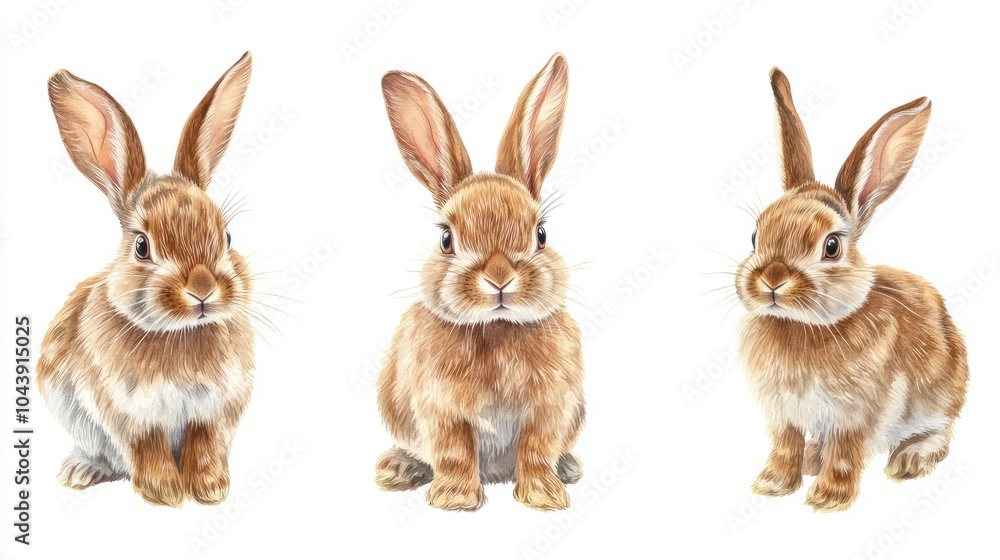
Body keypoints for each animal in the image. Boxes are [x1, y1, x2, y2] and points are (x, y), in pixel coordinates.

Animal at [37, 52, 256, 507]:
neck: (179, 332)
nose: (202, 290)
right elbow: (147, 448)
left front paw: (210, 489)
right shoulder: (129, 413)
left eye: (226, 236)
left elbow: (203, 444)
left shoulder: (211, 411)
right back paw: (79, 472)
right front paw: (165, 493)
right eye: (141, 246)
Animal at [374, 53, 586, 511]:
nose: (500, 278)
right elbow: (454, 450)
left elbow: (537, 449)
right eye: (446, 239)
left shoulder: (549, 408)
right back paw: (396, 470)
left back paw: (568, 469)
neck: (497, 328)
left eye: (541, 234)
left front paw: (544, 497)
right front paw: (454, 501)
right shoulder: (442, 410)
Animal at [734, 68, 969, 512]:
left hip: (938, 396)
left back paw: (909, 460)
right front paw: (772, 484)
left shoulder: (857, 413)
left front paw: (828, 499)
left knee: (939, 433)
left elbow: (846, 451)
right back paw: (813, 457)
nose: (771, 279)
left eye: (831, 246)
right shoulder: (784, 413)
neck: (804, 326)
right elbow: (786, 445)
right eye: (755, 237)